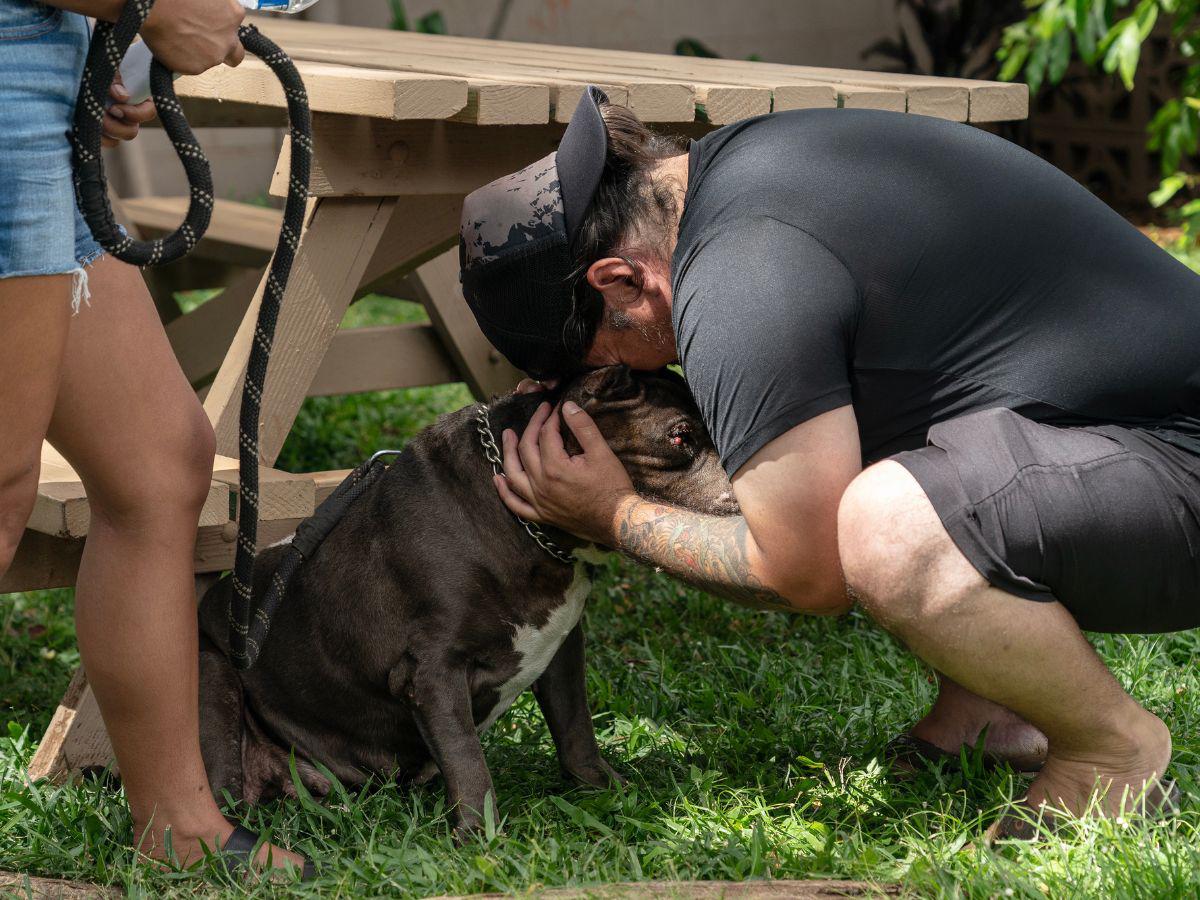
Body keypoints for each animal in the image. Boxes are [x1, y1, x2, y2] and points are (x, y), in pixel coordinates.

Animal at [196, 367, 729, 840]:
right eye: (680, 436)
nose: (738, 493)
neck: (523, 523)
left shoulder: (561, 647)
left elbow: (575, 724)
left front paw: (602, 787)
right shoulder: (433, 671)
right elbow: (466, 757)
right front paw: (481, 837)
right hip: (214, 679)